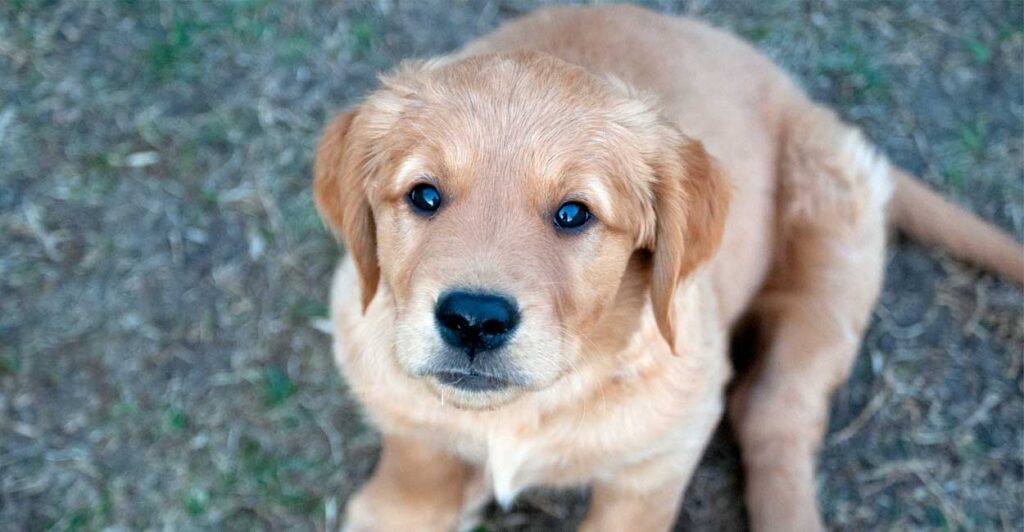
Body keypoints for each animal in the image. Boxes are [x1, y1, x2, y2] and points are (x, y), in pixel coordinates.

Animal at [313, 5, 1024, 532]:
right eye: (424, 196)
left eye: (573, 213)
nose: (473, 320)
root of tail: (802, 101)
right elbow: (413, 473)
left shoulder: (663, 454)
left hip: (831, 268)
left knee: (776, 416)